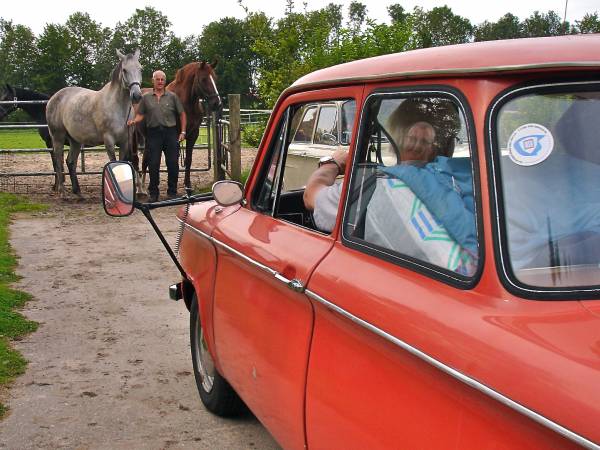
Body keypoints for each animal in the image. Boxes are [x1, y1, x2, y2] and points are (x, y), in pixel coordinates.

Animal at [46, 49, 142, 197]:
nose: (137, 96)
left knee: (70, 162)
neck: (117, 107)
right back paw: (63, 192)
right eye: (124, 70)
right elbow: (113, 164)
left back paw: (78, 193)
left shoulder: (125, 142)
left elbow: (122, 163)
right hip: (58, 137)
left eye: (140, 69)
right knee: (58, 161)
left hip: (75, 140)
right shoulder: (109, 141)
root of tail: (52, 99)